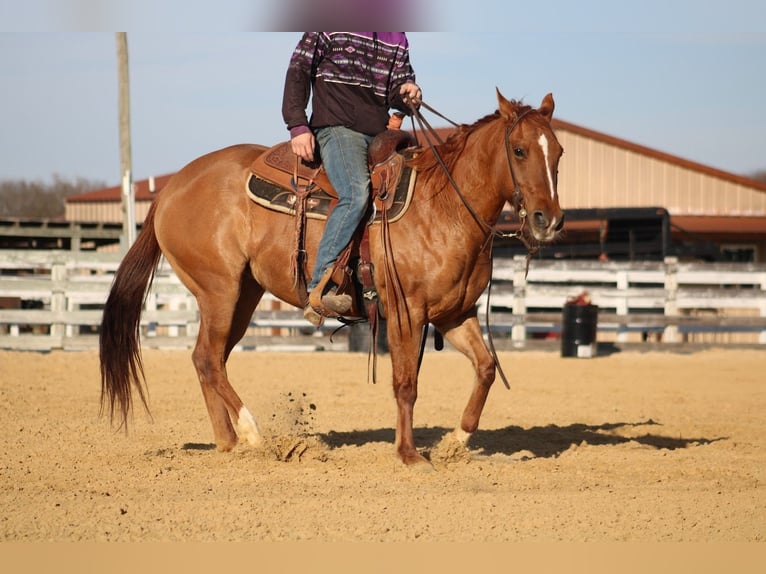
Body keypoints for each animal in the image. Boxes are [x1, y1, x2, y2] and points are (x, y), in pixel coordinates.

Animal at [99, 89, 565, 465]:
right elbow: (405, 383)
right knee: (210, 360)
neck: (444, 205)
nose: (549, 220)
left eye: (558, 152)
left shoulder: (453, 313)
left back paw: (229, 441)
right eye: (519, 150)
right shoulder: (406, 312)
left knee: (207, 359)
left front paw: (456, 441)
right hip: (219, 290)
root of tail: (171, 187)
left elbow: (486, 368)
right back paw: (252, 434)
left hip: (243, 296)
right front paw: (410, 455)